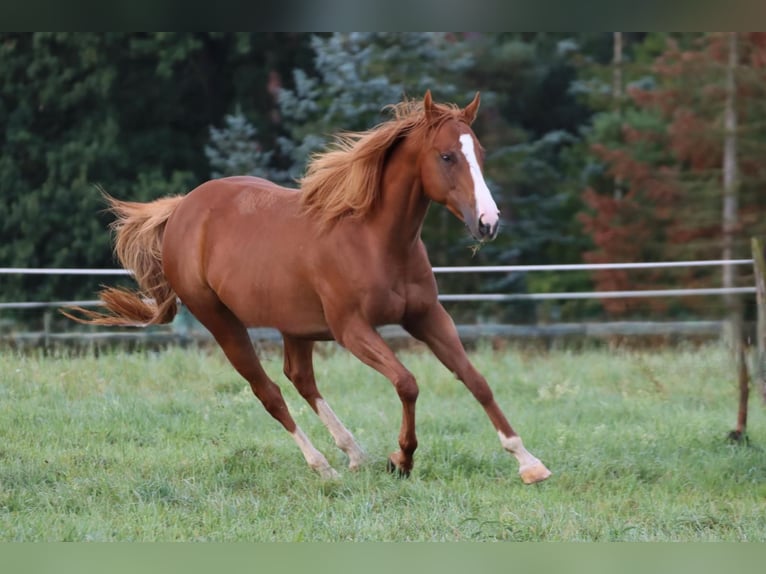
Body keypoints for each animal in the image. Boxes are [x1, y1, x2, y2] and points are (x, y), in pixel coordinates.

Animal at [64, 90, 551, 484]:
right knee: (269, 392)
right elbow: (407, 383)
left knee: (299, 378)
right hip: (222, 323)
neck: (374, 239)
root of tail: (184, 208)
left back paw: (353, 453)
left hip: (294, 326)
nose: (488, 223)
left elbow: (475, 380)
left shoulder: (427, 316)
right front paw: (402, 460)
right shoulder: (352, 330)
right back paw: (324, 467)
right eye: (447, 156)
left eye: (480, 153)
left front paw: (528, 462)